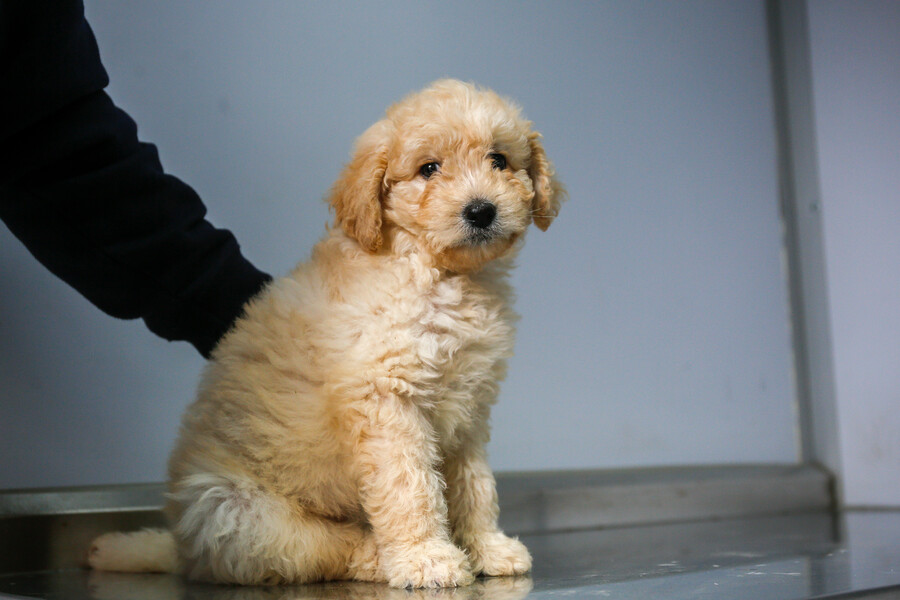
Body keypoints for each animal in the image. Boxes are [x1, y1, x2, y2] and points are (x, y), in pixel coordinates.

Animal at [86, 79, 564, 592]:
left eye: (499, 160)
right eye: (429, 169)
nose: (481, 211)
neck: (440, 274)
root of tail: (184, 549)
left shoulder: (469, 410)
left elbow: (475, 486)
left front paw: (488, 547)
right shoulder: (386, 401)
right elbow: (411, 486)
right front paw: (426, 557)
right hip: (242, 514)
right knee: (325, 549)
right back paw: (382, 558)